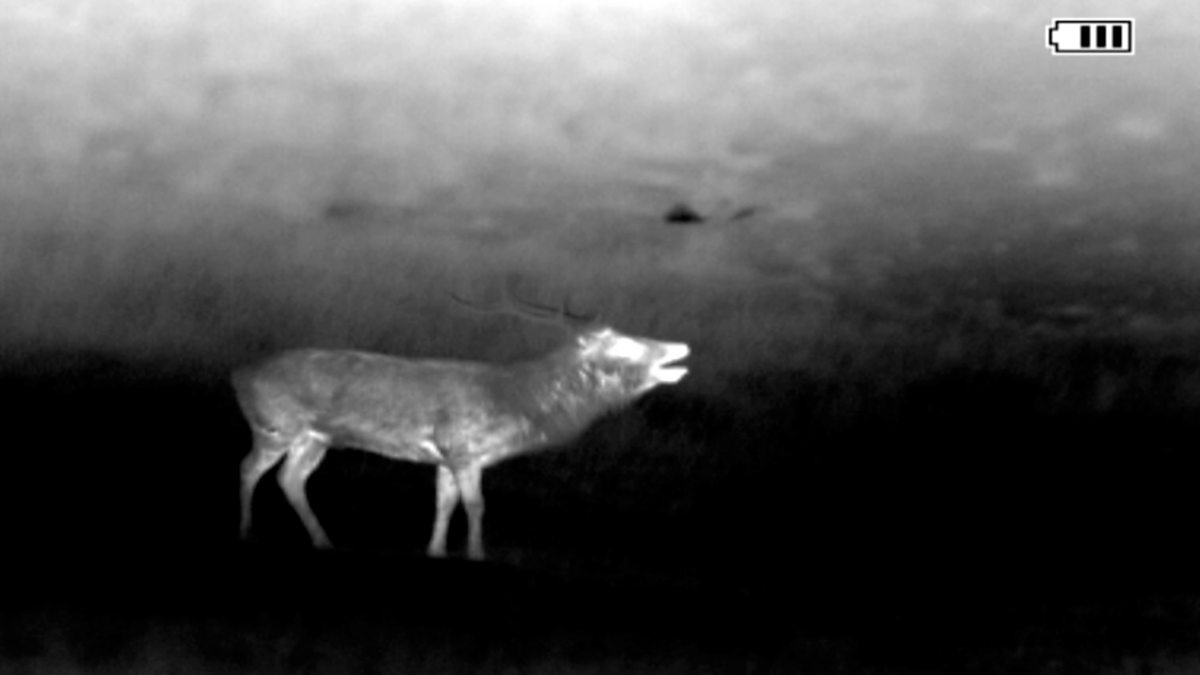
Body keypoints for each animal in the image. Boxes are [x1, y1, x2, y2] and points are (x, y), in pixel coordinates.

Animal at [232, 286, 690, 560]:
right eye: (626, 345)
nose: (680, 346)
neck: (517, 405)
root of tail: (237, 375)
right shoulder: (465, 447)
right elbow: (475, 503)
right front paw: (477, 554)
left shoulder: (447, 457)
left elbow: (445, 503)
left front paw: (435, 551)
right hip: (274, 425)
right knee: (249, 467)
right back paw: (247, 531)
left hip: (315, 438)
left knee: (290, 478)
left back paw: (324, 540)